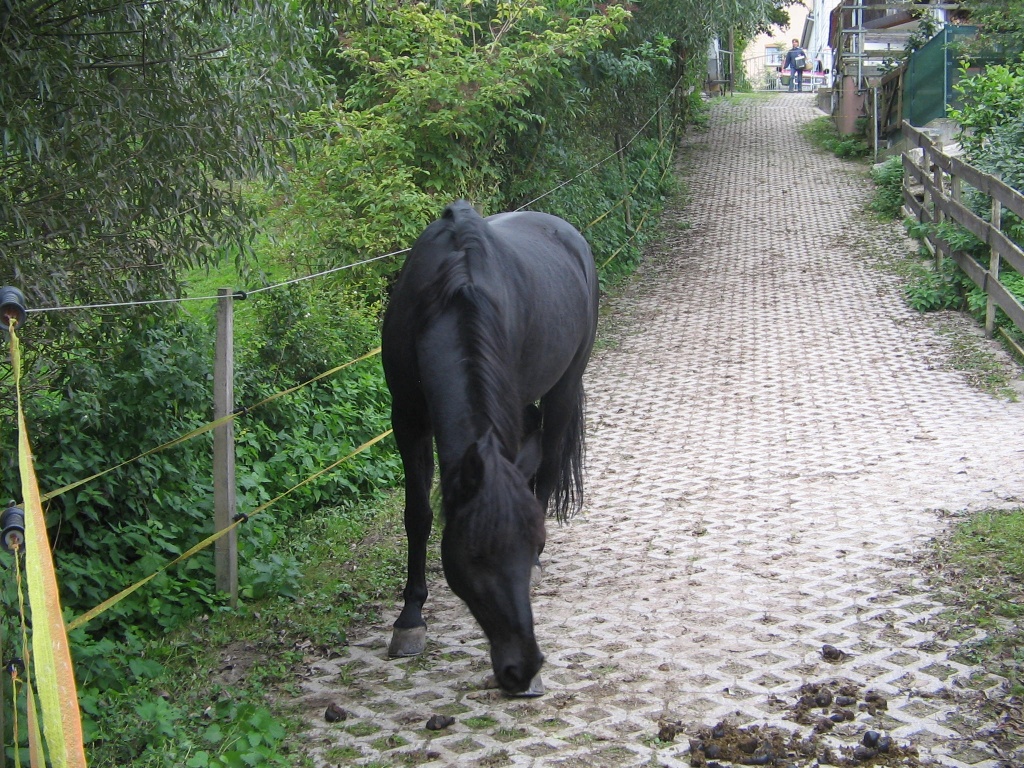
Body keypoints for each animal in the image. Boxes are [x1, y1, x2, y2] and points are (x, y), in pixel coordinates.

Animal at [380, 200, 599, 695]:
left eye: (534, 539)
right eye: (475, 555)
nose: (525, 668)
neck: (449, 296)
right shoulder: (407, 419)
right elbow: (417, 515)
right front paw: (410, 619)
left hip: (563, 388)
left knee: (549, 469)